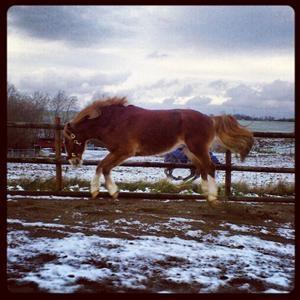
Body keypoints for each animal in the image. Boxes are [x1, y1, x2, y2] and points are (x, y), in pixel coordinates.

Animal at [63, 97, 253, 205]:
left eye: (70, 140)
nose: (73, 161)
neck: (112, 121)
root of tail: (210, 119)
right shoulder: (118, 152)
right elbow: (104, 167)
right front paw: (111, 192)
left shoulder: (124, 151)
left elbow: (102, 166)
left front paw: (99, 191)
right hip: (190, 151)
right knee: (202, 169)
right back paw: (206, 193)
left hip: (198, 149)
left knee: (210, 168)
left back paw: (213, 197)